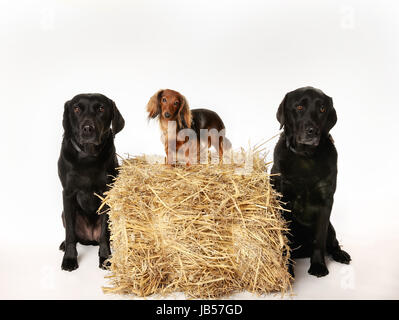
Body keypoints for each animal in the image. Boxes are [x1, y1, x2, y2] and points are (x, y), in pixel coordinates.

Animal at [58, 94, 125, 272]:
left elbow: (104, 233)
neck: (87, 156)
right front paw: (69, 259)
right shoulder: (68, 193)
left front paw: (105, 258)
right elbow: (70, 234)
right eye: (76, 108)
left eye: (101, 108)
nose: (88, 128)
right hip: (63, 214)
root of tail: (90, 238)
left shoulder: (106, 193)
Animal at [272, 86, 350, 276]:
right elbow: (286, 238)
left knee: (333, 243)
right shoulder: (283, 198)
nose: (312, 131)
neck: (306, 156)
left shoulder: (326, 202)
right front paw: (287, 270)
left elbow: (319, 239)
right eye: (299, 107)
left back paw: (341, 254)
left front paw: (318, 266)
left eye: (322, 109)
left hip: (331, 228)